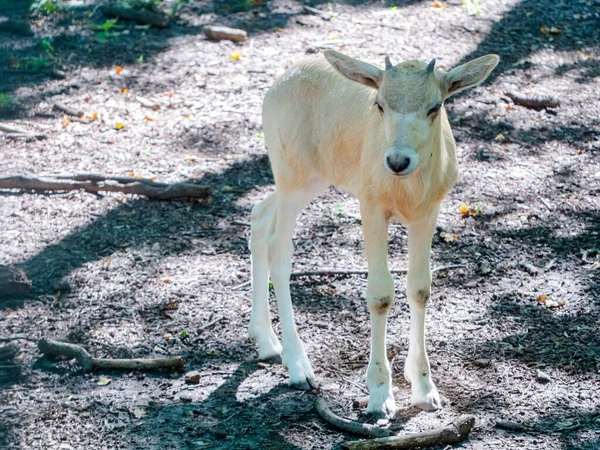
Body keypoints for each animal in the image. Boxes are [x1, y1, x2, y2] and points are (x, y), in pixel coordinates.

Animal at [246, 51, 500, 420]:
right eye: (379, 104)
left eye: (435, 106)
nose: (397, 160)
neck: (405, 191)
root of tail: (278, 84)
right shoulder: (371, 207)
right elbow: (380, 294)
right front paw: (380, 396)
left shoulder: (427, 213)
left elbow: (420, 288)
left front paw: (425, 389)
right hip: (291, 174)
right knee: (279, 247)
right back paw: (298, 366)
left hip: (313, 179)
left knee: (259, 217)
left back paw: (266, 342)